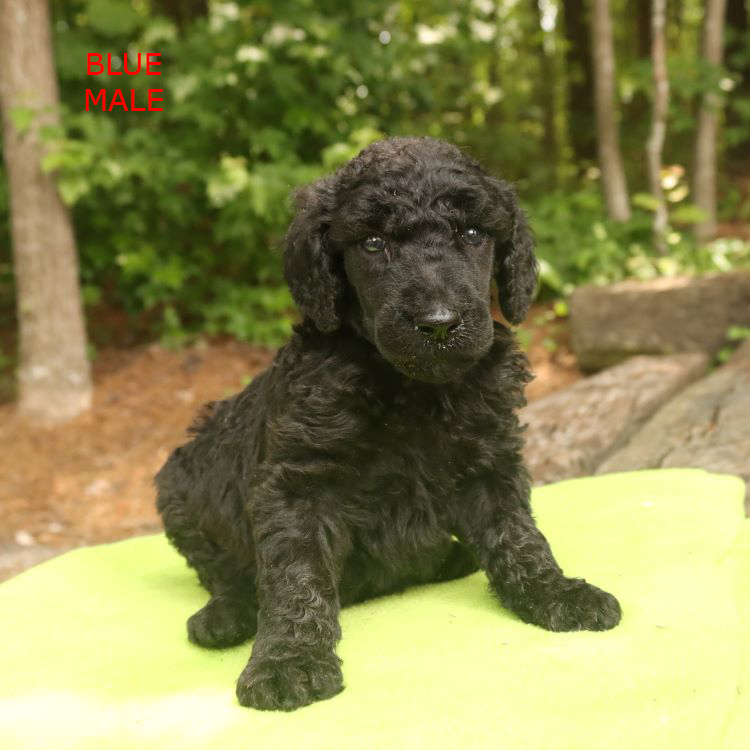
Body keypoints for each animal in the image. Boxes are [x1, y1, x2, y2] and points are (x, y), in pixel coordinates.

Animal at [155, 136, 621, 712]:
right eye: (373, 244)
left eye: (473, 235)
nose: (438, 325)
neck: (411, 388)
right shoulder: (298, 481)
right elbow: (295, 573)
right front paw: (289, 659)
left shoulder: (490, 459)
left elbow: (517, 534)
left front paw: (553, 592)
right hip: (179, 486)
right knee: (220, 569)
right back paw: (228, 614)